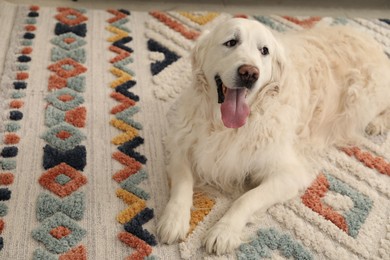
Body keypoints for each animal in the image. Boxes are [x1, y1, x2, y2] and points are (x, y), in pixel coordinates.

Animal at [157, 17, 390, 254]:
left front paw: (223, 231)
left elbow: (246, 199)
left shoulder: (289, 174)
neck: (227, 127)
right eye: (231, 42)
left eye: (264, 51)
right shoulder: (180, 142)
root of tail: (369, 39)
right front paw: (174, 220)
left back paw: (378, 123)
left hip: (367, 101)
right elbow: (182, 182)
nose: (249, 73)